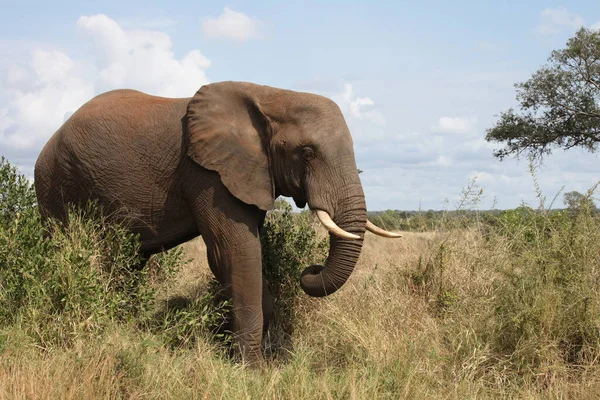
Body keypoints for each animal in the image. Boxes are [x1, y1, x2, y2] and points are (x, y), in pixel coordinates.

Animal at [32, 82, 398, 366]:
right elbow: (236, 251)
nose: (309, 270)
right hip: (55, 183)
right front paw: (251, 371)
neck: (271, 95)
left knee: (126, 263)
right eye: (307, 152)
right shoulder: (208, 173)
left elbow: (241, 256)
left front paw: (262, 358)